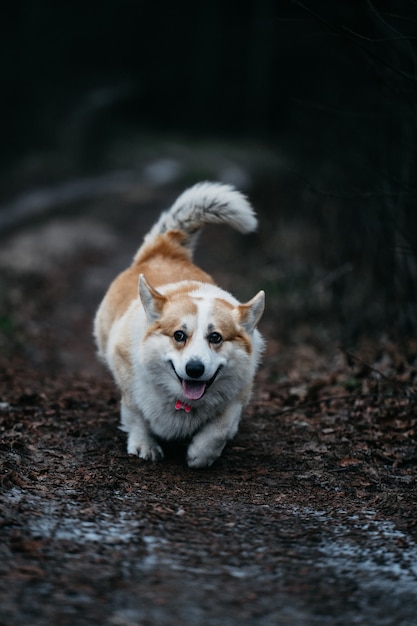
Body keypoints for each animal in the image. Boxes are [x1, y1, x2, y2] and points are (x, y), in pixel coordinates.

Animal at [94, 180, 264, 464]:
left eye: (216, 337)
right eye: (179, 335)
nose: (194, 369)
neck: (183, 400)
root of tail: (164, 249)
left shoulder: (238, 395)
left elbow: (221, 427)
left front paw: (201, 455)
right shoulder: (129, 384)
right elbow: (136, 416)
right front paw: (144, 446)